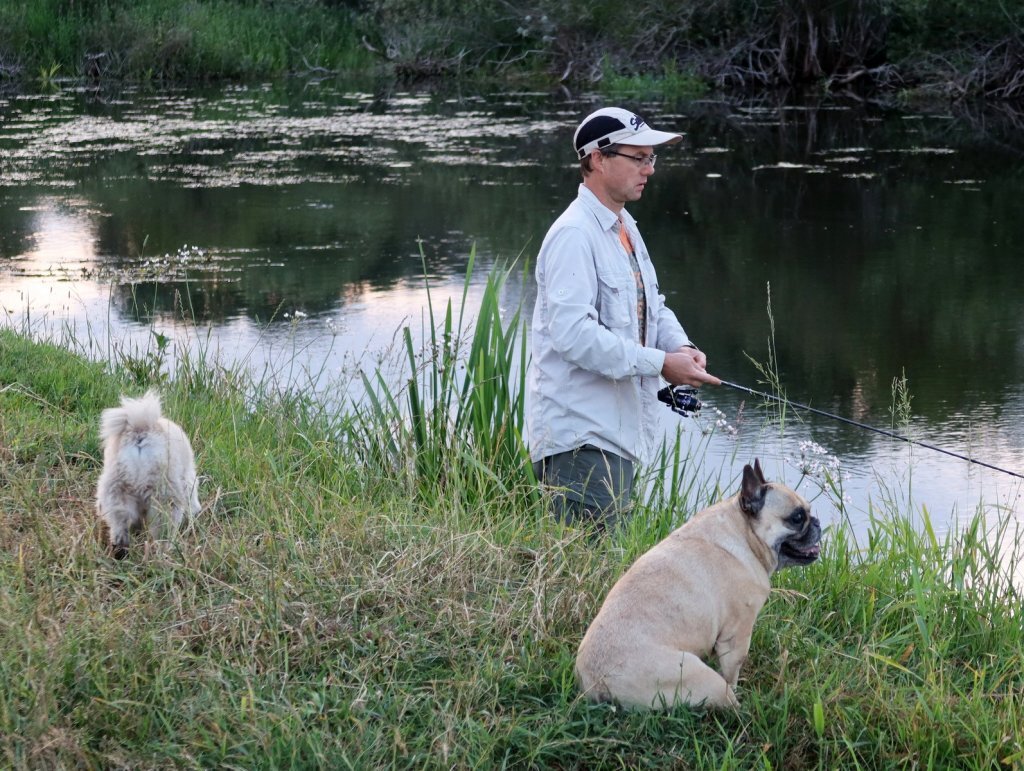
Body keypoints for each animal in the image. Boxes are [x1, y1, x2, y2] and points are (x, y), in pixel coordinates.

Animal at [96, 387, 199, 557]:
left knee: (120, 527)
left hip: (116, 491)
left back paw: (120, 552)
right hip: (164, 498)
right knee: (163, 532)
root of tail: (141, 431)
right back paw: (165, 553)